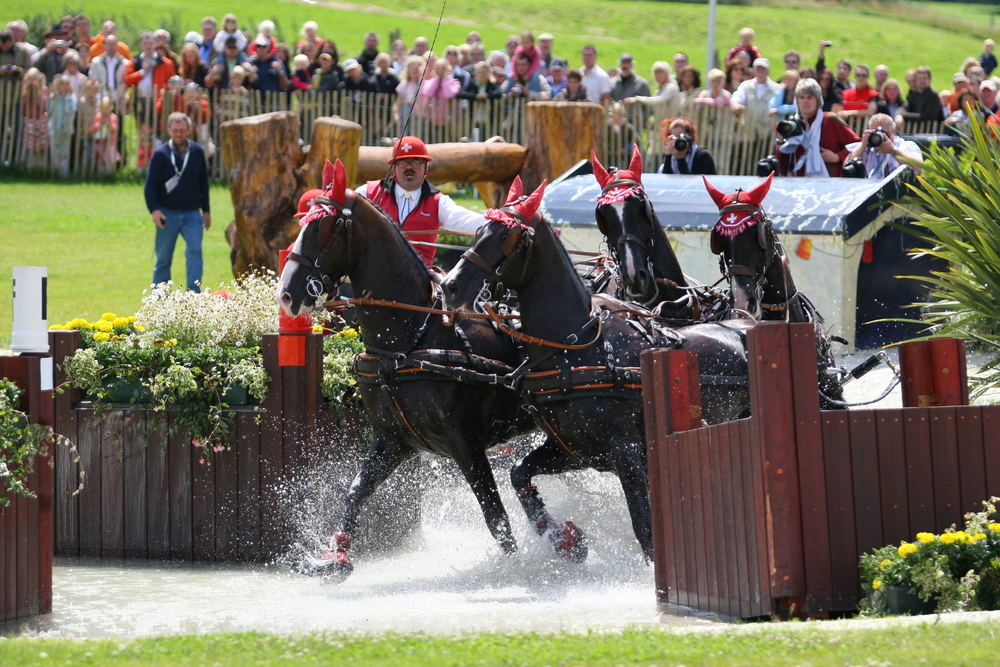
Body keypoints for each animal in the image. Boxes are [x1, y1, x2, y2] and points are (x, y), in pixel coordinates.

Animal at [274, 159, 540, 580]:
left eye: (322, 229)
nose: (286, 294)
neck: (412, 337)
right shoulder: (392, 439)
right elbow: (355, 493)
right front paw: (336, 557)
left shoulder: (467, 443)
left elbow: (495, 516)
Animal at [442, 180, 748, 560]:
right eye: (478, 230)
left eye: (508, 236)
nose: (450, 286)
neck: (578, 349)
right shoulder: (575, 449)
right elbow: (518, 472)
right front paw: (563, 538)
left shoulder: (626, 452)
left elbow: (645, 529)